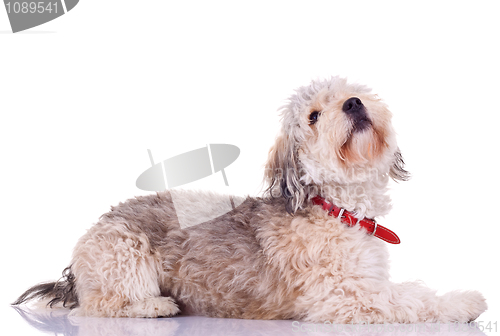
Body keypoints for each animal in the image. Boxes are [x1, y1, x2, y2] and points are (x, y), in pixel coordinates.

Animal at [13, 77, 486, 322]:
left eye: (351, 90)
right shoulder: (346, 296)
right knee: (99, 305)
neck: (336, 208)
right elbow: (414, 298)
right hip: (124, 256)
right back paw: (154, 306)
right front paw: (465, 302)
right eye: (314, 116)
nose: (354, 103)